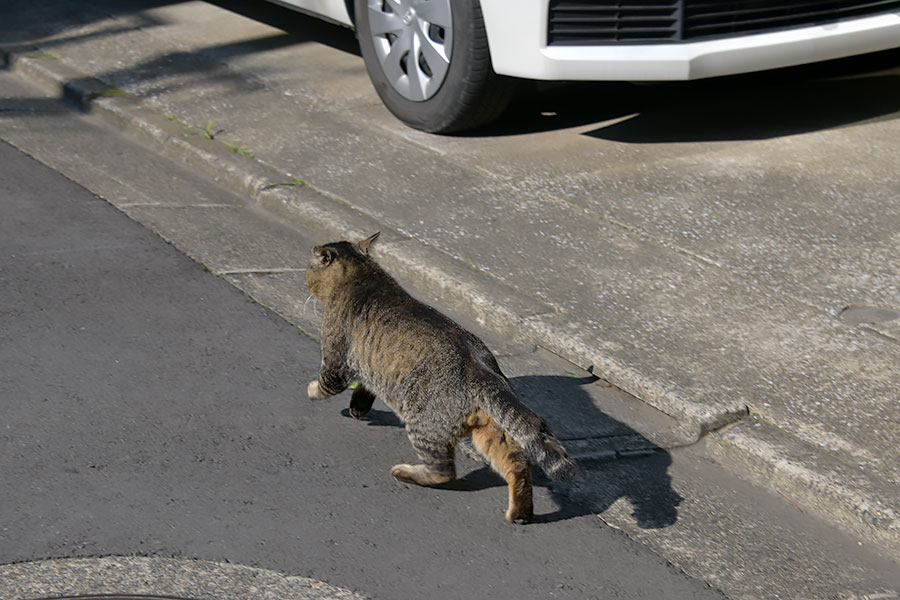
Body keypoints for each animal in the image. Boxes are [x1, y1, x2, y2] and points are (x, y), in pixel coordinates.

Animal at [306, 232, 576, 524]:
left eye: (309, 269)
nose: (305, 279)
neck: (363, 273)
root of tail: (481, 370)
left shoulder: (337, 359)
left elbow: (327, 384)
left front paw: (312, 389)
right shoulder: (370, 366)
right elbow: (365, 388)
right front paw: (358, 407)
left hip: (425, 427)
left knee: (444, 472)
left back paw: (405, 472)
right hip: (492, 432)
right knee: (517, 465)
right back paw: (520, 513)